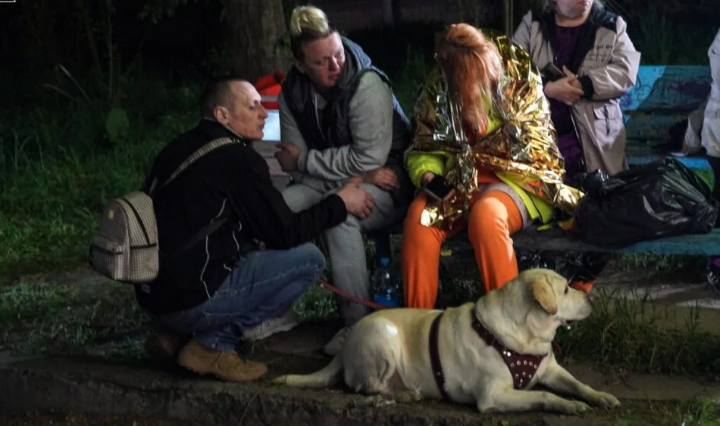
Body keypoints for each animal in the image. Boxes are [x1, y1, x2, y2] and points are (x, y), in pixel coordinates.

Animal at [274, 268, 620, 414]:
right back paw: (404, 394)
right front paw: (569, 406)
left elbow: (579, 384)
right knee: (367, 387)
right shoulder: (493, 396)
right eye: (565, 290)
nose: (591, 299)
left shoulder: (552, 370)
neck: (528, 337)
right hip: (383, 336)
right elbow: (544, 396)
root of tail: (344, 348)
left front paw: (601, 396)